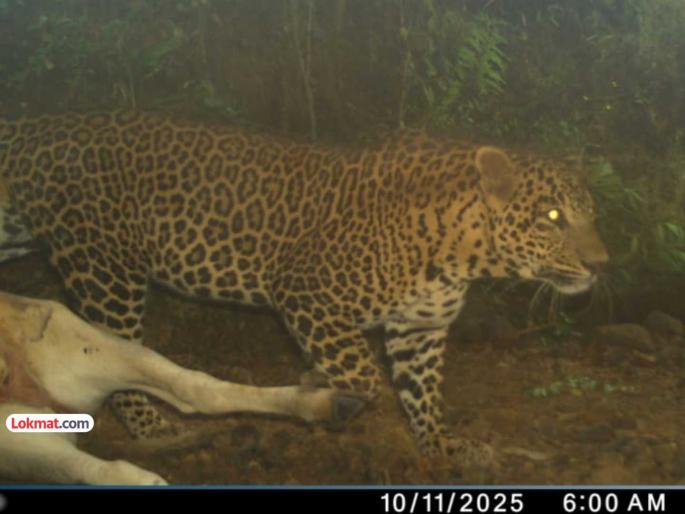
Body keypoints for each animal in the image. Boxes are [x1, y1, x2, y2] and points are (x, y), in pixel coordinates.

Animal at [0, 111, 608, 463]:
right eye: (553, 217)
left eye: (589, 212)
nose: (601, 264)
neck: (462, 251)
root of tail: (38, 130)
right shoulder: (309, 297)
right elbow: (365, 378)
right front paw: (335, 399)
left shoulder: (420, 329)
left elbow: (424, 395)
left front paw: (440, 447)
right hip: (106, 270)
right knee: (125, 361)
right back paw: (158, 432)